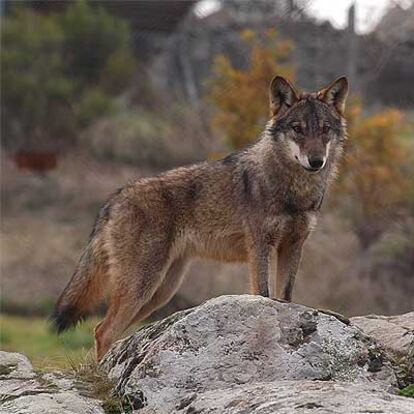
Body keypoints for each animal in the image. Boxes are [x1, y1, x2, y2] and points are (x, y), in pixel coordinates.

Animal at [51, 75, 350, 360]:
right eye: (298, 129)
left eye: (324, 129)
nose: (316, 161)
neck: (294, 191)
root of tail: (113, 199)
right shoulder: (260, 246)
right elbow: (264, 295)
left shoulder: (293, 245)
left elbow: (285, 297)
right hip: (143, 286)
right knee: (103, 331)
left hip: (160, 292)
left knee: (106, 330)